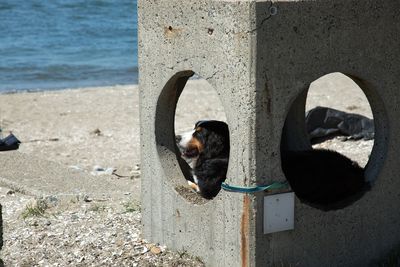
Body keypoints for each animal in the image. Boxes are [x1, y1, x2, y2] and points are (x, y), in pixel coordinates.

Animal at [177, 120, 370, 210]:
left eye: (198, 134)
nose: (177, 136)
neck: (221, 154)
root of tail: (355, 171)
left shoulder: (209, 190)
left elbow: (193, 184)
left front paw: (188, 181)